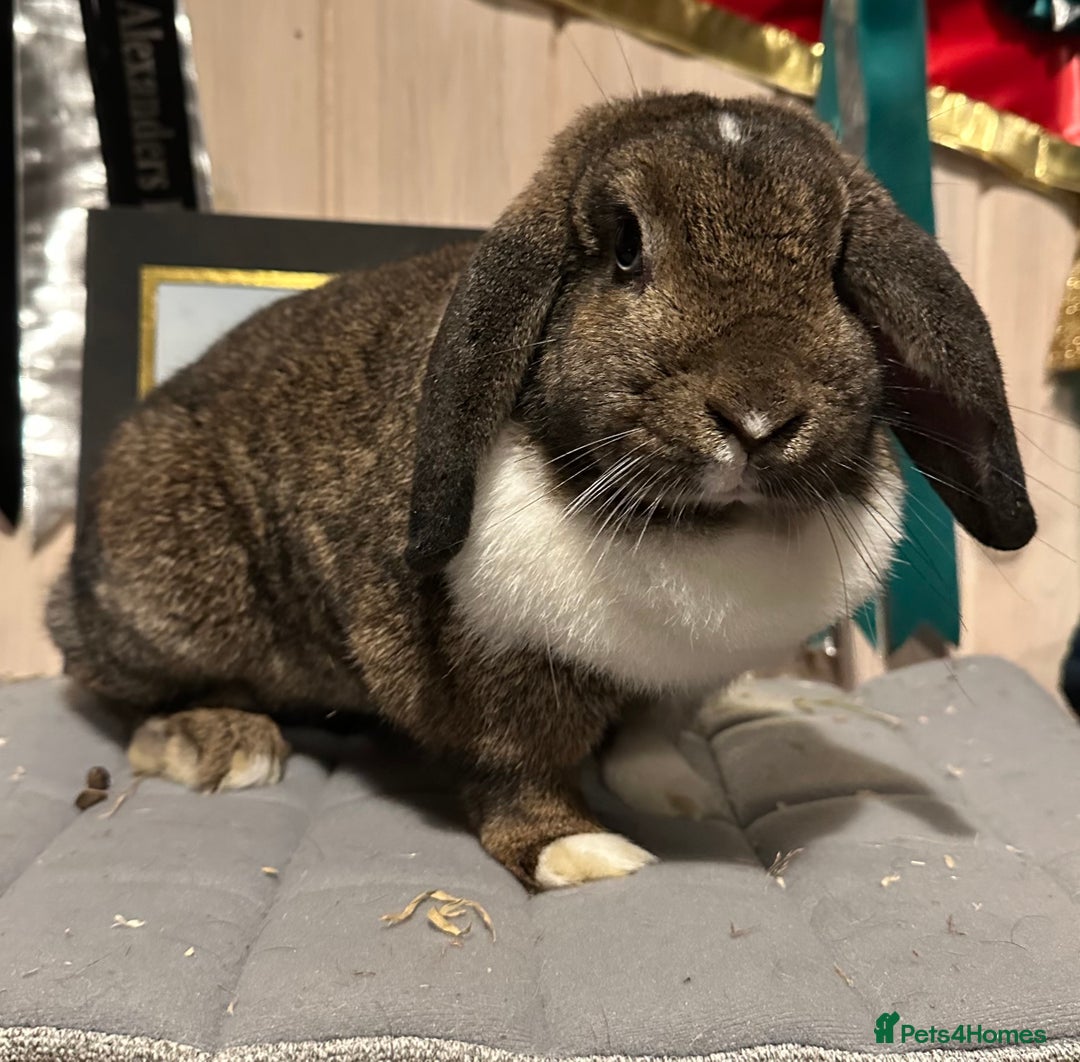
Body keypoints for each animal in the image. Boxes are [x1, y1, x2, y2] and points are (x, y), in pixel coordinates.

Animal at [48, 92, 1035, 890]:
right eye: (626, 248)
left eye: (837, 268)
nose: (758, 417)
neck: (701, 527)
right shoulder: (501, 675)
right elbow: (520, 770)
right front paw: (580, 853)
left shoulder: (674, 682)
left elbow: (649, 729)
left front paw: (676, 793)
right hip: (171, 605)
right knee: (109, 682)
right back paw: (219, 742)